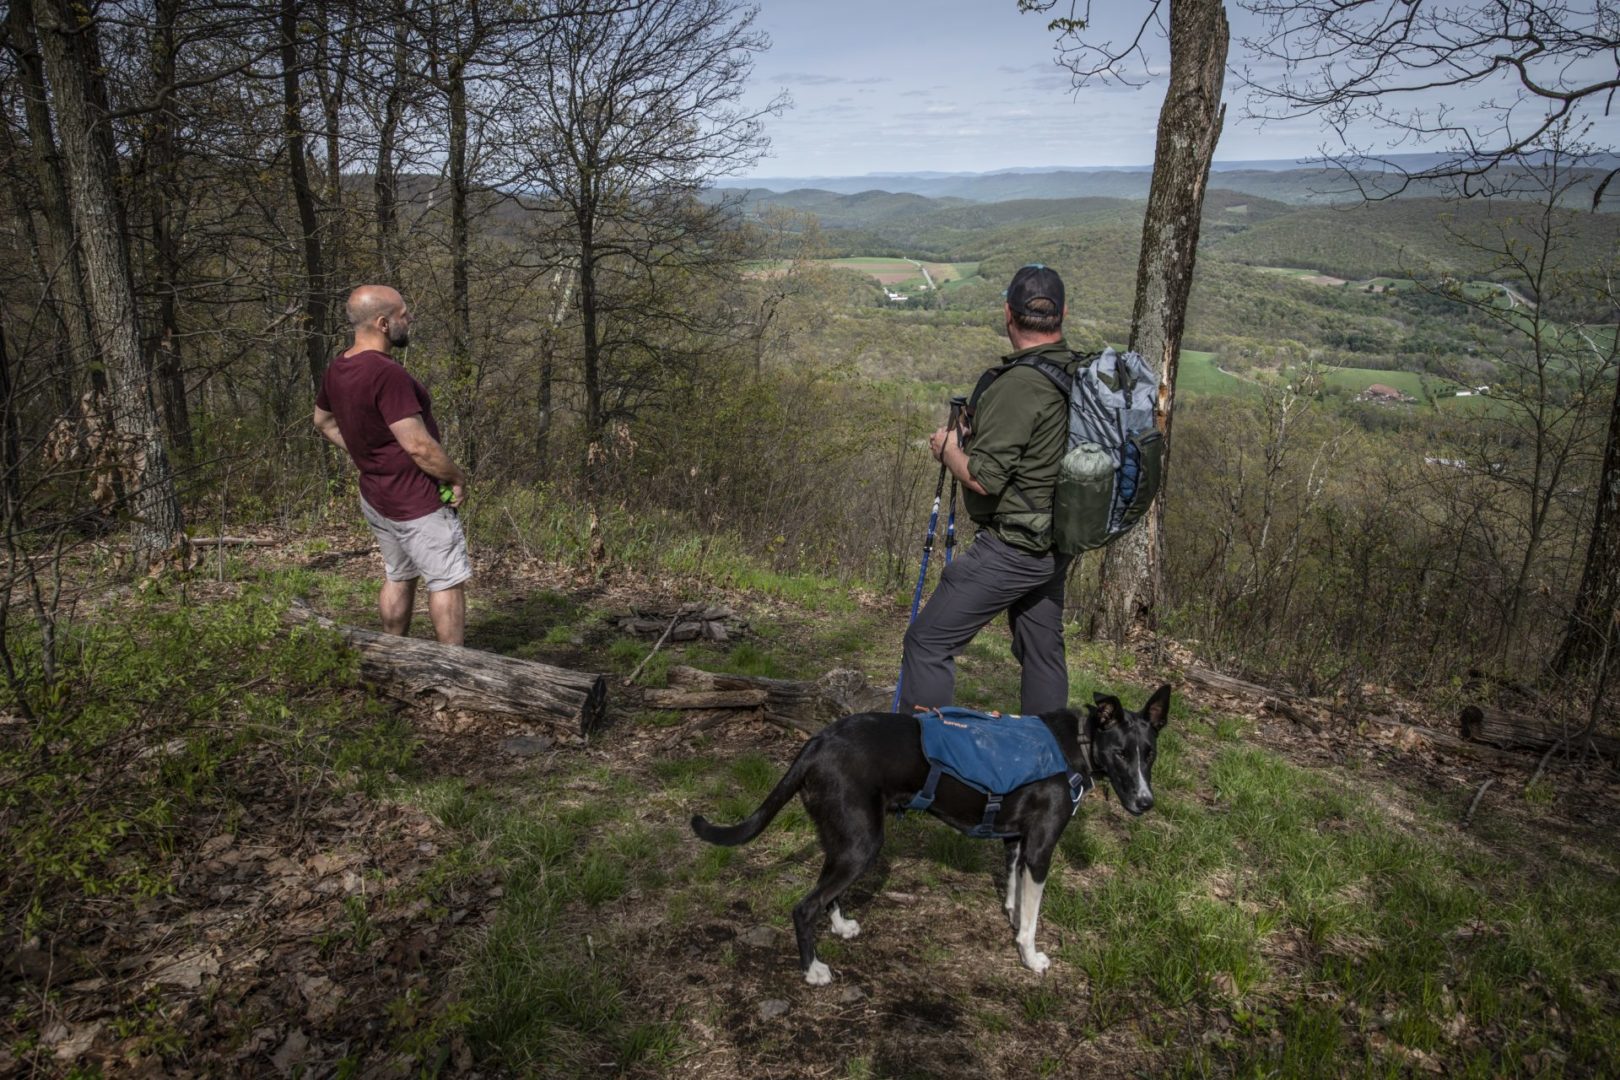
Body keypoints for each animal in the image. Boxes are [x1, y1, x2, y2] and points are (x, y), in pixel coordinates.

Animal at [690, 689, 1172, 984]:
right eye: (1120, 754)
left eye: (1149, 754)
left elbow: (1015, 899)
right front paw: (1030, 957)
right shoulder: (1039, 850)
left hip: (844, 838)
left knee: (828, 894)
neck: (1079, 742)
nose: (1146, 802)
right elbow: (1032, 921)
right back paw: (812, 970)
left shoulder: (1016, 842)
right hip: (862, 844)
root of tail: (816, 743)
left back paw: (841, 926)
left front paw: (1012, 920)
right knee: (804, 906)